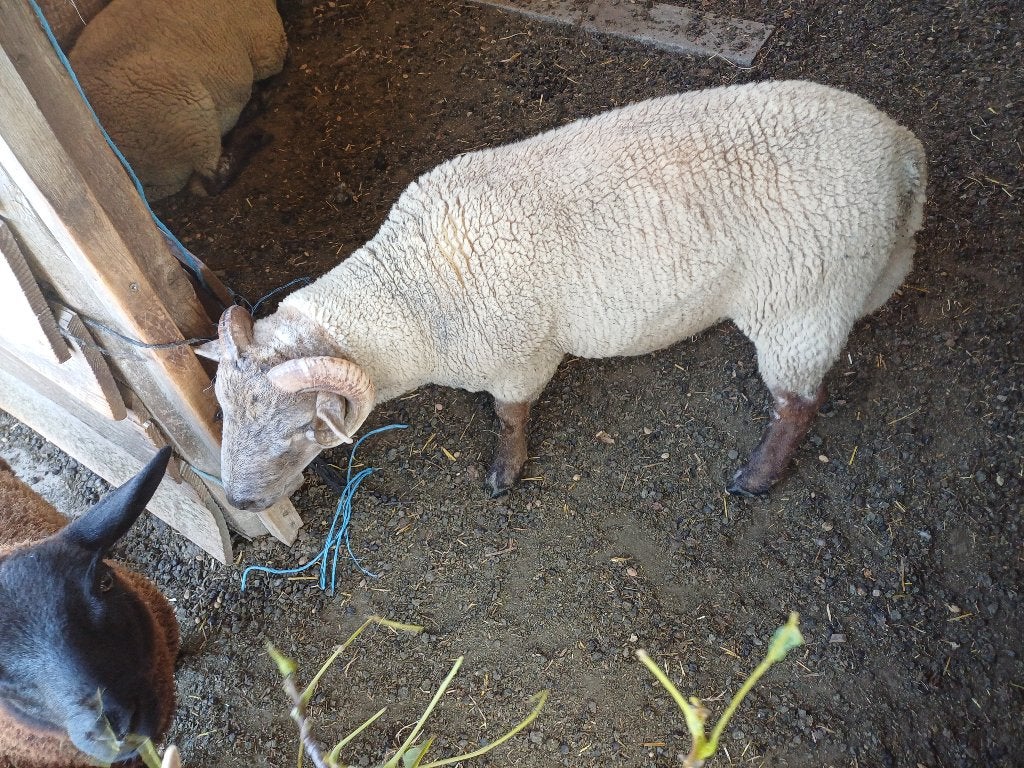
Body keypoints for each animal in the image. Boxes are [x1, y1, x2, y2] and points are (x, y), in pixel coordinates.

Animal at [196, 80, 927, 510]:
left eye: (301, 430)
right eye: (223, 410)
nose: (240, 503)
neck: (412, 293)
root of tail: (899, 149)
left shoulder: (519, 356)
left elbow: (510, 416)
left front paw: (506, 473)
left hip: (801, 301)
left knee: (799, 404)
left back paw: (757, 477)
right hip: (866, 270)